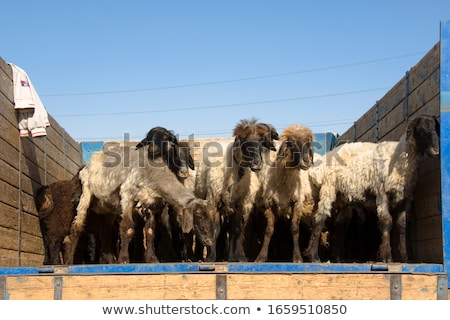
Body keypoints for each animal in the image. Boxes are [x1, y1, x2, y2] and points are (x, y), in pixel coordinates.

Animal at [62, 126, 214, 264]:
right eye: (199, 217)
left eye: (167, 139)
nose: (209, 241)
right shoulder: (127, 196)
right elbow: (127, 228)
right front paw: (124, 260)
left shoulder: (152, 204)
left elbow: (150, 231)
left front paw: (152, 259)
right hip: (85, 195)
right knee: (76, 228)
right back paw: (69, 261)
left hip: (109, 208)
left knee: (105, 231)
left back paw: (109, 260)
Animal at [255, 124, 314, 262]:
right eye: (291, 142)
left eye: (309, 142)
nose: (306, 161)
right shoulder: (270, 204)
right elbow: (269, 230)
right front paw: (261, 257)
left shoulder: (296, 202)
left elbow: (295, 229)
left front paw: (297, 257)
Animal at [304, 115, 442, 262]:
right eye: (421, 131)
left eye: (436, 128)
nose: (436, 150)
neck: (398, 158)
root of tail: (321, 163)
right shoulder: (382, 194)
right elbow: (386, 222)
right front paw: (386, 257)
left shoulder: (405, 199)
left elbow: (402, 225)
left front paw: (405, 258)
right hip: (328, 189)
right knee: (319, 219)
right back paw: (313, 256)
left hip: (342, 199)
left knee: (340, 224)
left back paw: (339, 258)